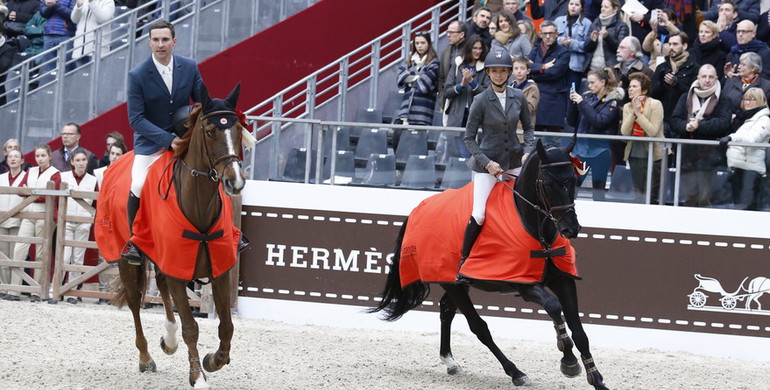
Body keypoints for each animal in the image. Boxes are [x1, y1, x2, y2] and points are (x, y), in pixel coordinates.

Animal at [95, 83, 244, 390]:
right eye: (210, 131)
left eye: (237, 129)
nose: (235, 182)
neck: (198, 205)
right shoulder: (177, 269)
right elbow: (191, 327)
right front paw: (197, 376)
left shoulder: (218, 269)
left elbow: (226, 325)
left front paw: (213, 360)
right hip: (126, 260)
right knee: (135, 302)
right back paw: (145, 358)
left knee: (162, 290)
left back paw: (169, 340)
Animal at [368, 138, 608, 390]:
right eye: (548, 183)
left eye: (573, 180)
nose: (570, 228)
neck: (535, 226)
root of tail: (418, 209)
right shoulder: (524, 284)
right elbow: (553, 306)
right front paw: (568, 360)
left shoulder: (563, 280)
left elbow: (580, 332)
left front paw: (597, 380)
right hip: (451, 282)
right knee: (478, 326)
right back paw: (515, 372)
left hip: (456, 285)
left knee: (447, 310)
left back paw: (450, 361)